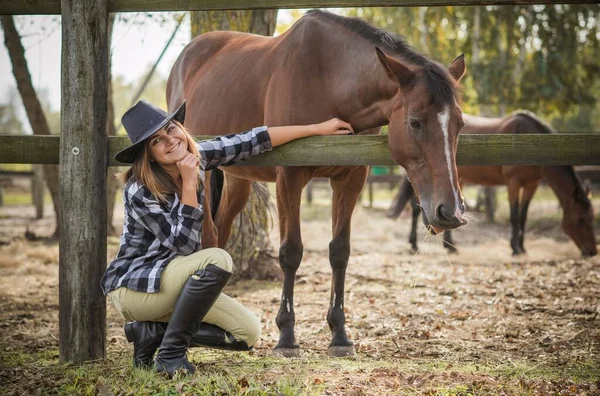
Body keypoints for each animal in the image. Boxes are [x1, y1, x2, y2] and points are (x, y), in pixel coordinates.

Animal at [168, 9, 468, 358]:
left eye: (460, 124)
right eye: (415, 122)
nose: (451, 212)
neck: (328, 80)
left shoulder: (350, 179)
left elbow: (340, 251)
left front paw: (339, 334)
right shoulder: (290, 178)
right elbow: (291, 252)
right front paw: (286, 336)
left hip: (236, 181)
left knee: (221, 234)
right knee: (207, 236)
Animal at [386, 110, 596, 256]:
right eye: (581, 219)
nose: (592, 251)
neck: (528, 137)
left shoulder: (531, 185)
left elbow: (523, 216)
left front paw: (522, 247)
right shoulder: (513, 183)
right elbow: (514, 216)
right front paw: (515, 248)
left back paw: (449, 246)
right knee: (416, 208)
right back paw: (415, 245)